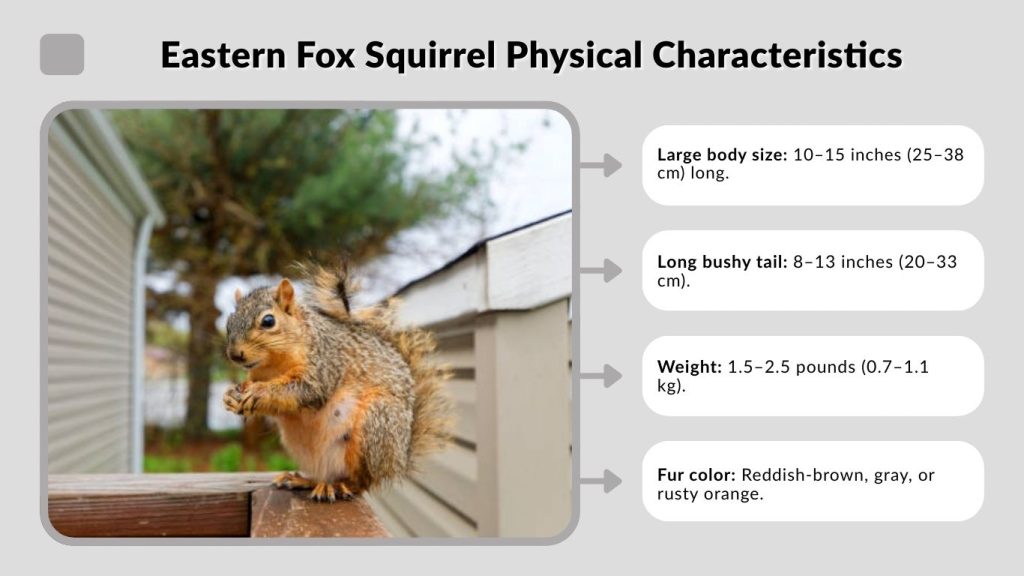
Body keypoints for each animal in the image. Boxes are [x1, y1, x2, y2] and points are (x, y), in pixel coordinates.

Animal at [222, 262, 452, 502]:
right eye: (229, 322)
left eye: (268, 321)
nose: (235, 354)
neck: (273, 366)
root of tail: (398, 460)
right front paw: (231, 396)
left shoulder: (325, 365)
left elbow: (305, 390)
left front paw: (259, 392)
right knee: (326, 475)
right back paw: (305, 480)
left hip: (375, 425)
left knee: (363, 481)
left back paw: (341, 486)